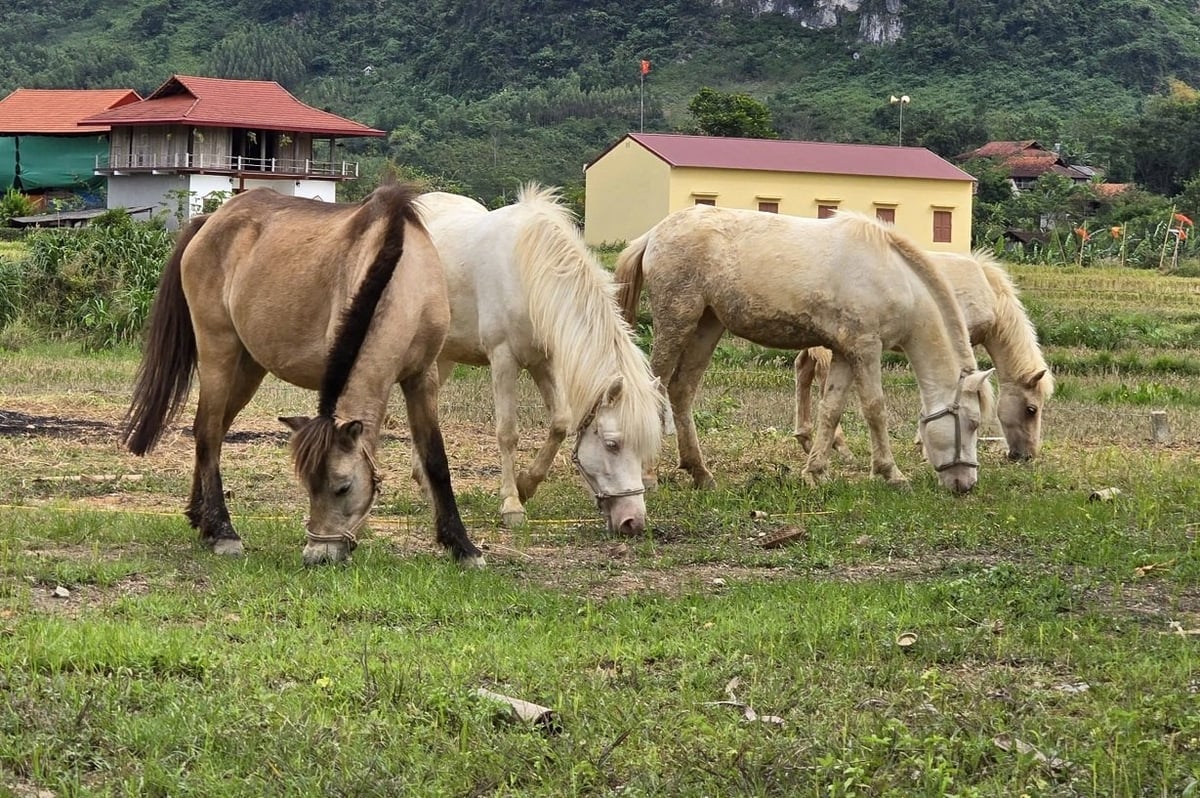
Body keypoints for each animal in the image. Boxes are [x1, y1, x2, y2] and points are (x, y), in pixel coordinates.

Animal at [121, 185, 484, 567]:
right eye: (308, 487)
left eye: (342, 487)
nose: (317, 555)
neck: (404, 274)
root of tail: (211, 221)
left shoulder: (422, 377)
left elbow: (435, 459)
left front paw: (462, 546)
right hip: (218, 350)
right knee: (207, 432)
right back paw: (222, 531)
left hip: (249, 367)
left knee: (214, 432)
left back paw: (200, 518)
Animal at [416, 185, 667, 532]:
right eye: (612, 444)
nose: (633, 522)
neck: (528, 269)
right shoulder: (503, 359)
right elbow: (507, 433)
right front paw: (511, 504)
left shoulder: (544, 361)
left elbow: (561, 422)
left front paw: (527, 485)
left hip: (444, 356)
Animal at [615, 206, 994, 494]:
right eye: (972, 423)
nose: (966, 484)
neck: (894, 277)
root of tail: (654, 234)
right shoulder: (866, 349)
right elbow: (875, 409)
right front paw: (891, 473)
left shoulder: (844, 353)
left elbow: (832, 409)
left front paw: (816, 471)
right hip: (677, 321)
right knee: (656, 387)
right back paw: (649, 474)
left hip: (707, 326)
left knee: (681, 391)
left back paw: (700, 473)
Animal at [793, 249, 1053, 461]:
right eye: (1031, 409)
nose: (1027, 455)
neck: (989, 292)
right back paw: (839, 445)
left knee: (803, 370)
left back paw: (805, 437)